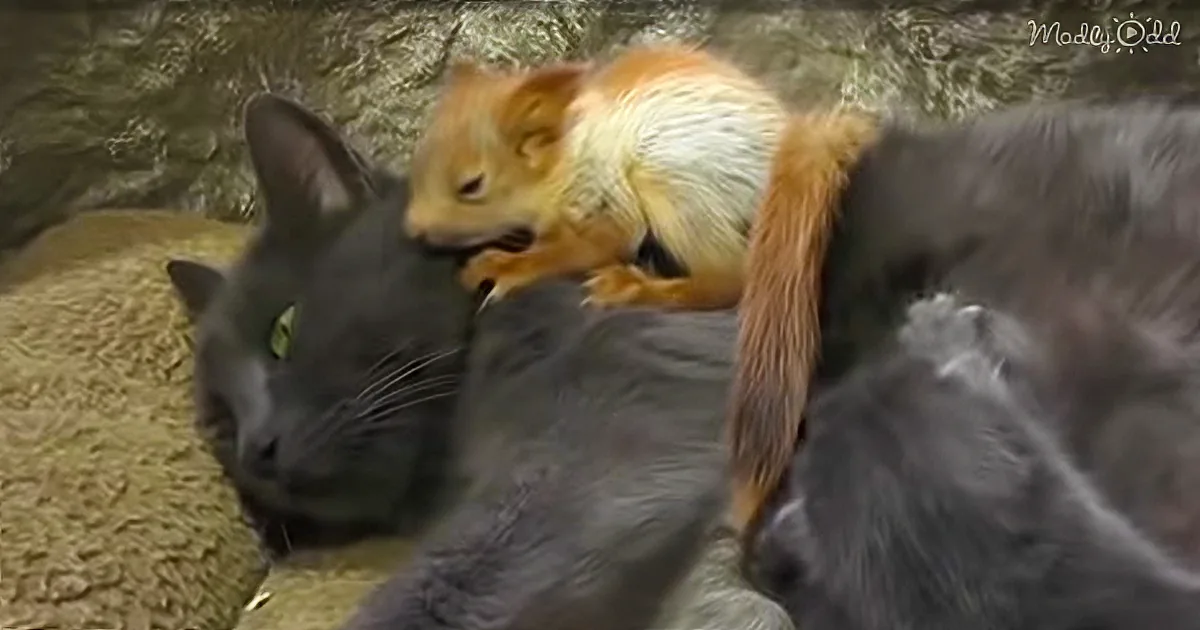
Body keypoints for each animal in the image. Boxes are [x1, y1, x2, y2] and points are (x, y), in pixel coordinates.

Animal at [405, 43, 870, 312]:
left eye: (471, 185)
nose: (412, 231)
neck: (565, 156)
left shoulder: (603, 188)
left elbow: (602, 242)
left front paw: (507, 265)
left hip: (670, 176)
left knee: (729, 278)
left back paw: (635, 288)